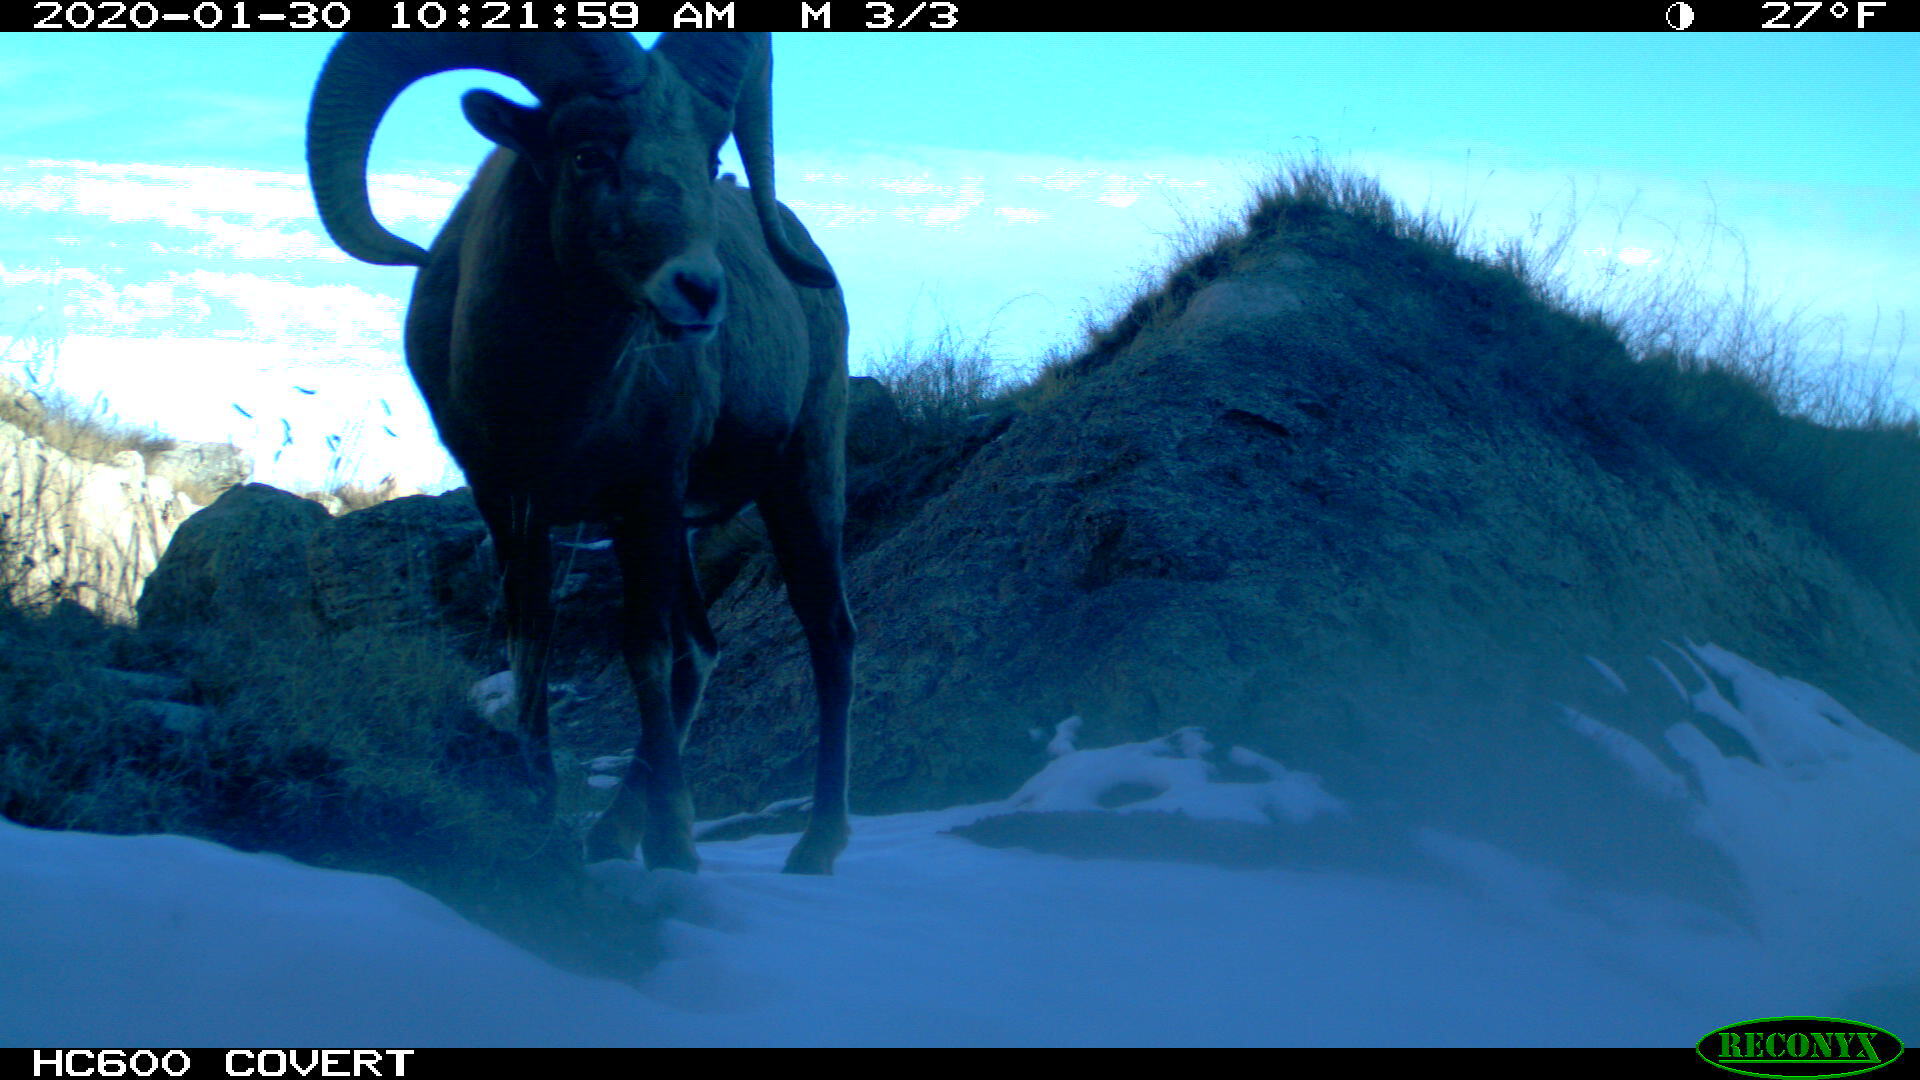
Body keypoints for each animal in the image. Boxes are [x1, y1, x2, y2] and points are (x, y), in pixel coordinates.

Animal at [305, 32, 853, 875]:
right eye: (588, 154)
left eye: (709, 157)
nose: (700, 294)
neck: (551, 400)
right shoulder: (513, 507)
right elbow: (532, 643)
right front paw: (540, 815)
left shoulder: (647, 495)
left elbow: (643, 654)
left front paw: (675, 851)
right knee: (703, 649)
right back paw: (609, 835)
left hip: (799, 478)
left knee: (825, 635)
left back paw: (815, 848)